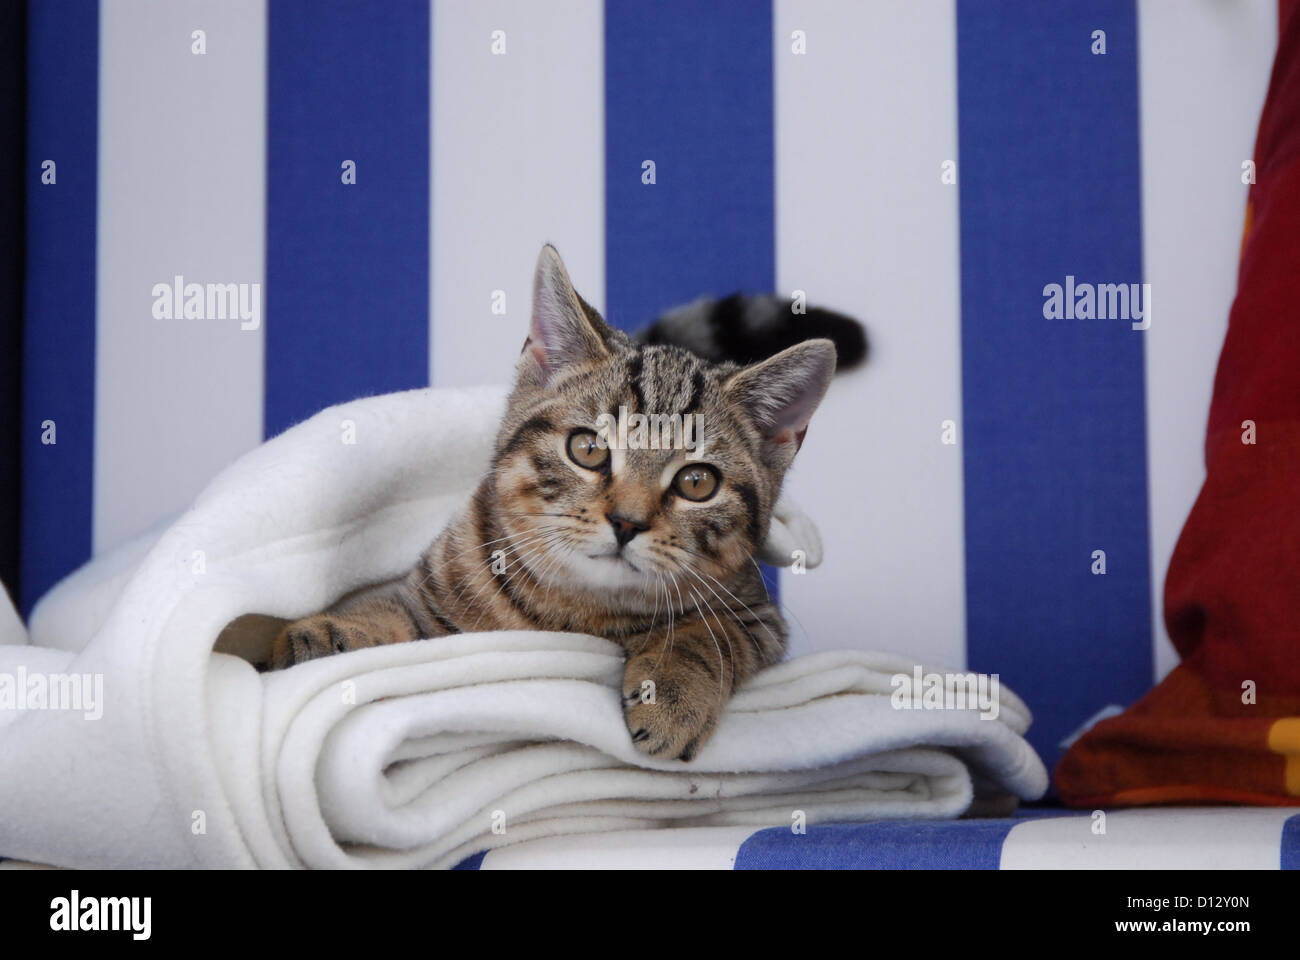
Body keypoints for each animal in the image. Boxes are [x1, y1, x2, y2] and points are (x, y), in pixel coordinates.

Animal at [266, 243, 852, 759]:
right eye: (587, 449)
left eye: (696, 483)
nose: (626, 521)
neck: (576, 611)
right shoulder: (433, 600)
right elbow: (395, 620)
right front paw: (333, 630)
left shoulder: (760, 616)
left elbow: (709, 634)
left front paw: (672, 690)